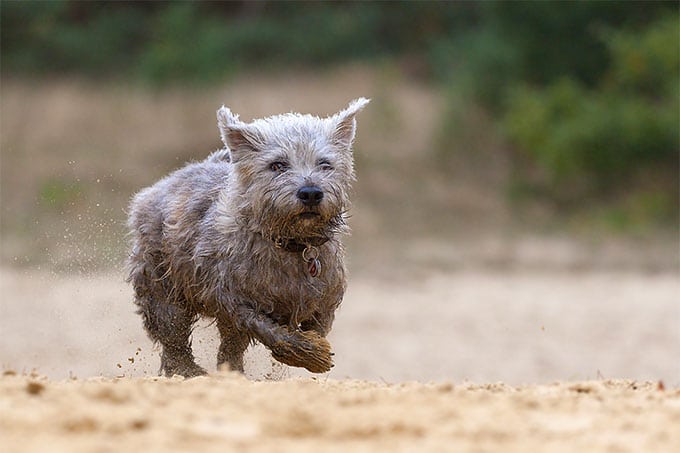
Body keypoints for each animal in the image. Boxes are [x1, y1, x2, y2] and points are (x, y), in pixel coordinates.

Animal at [125, 97, 370, 376]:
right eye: (277, 165)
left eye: (325, 164)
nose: (310, 192)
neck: (291, 244)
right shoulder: (233, 299)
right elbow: (274, 333)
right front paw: (313, 354)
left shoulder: (325, 297)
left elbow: (317, 325)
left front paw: (311, 348)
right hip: (161, 285)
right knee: (173, 336)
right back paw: (188, 371)